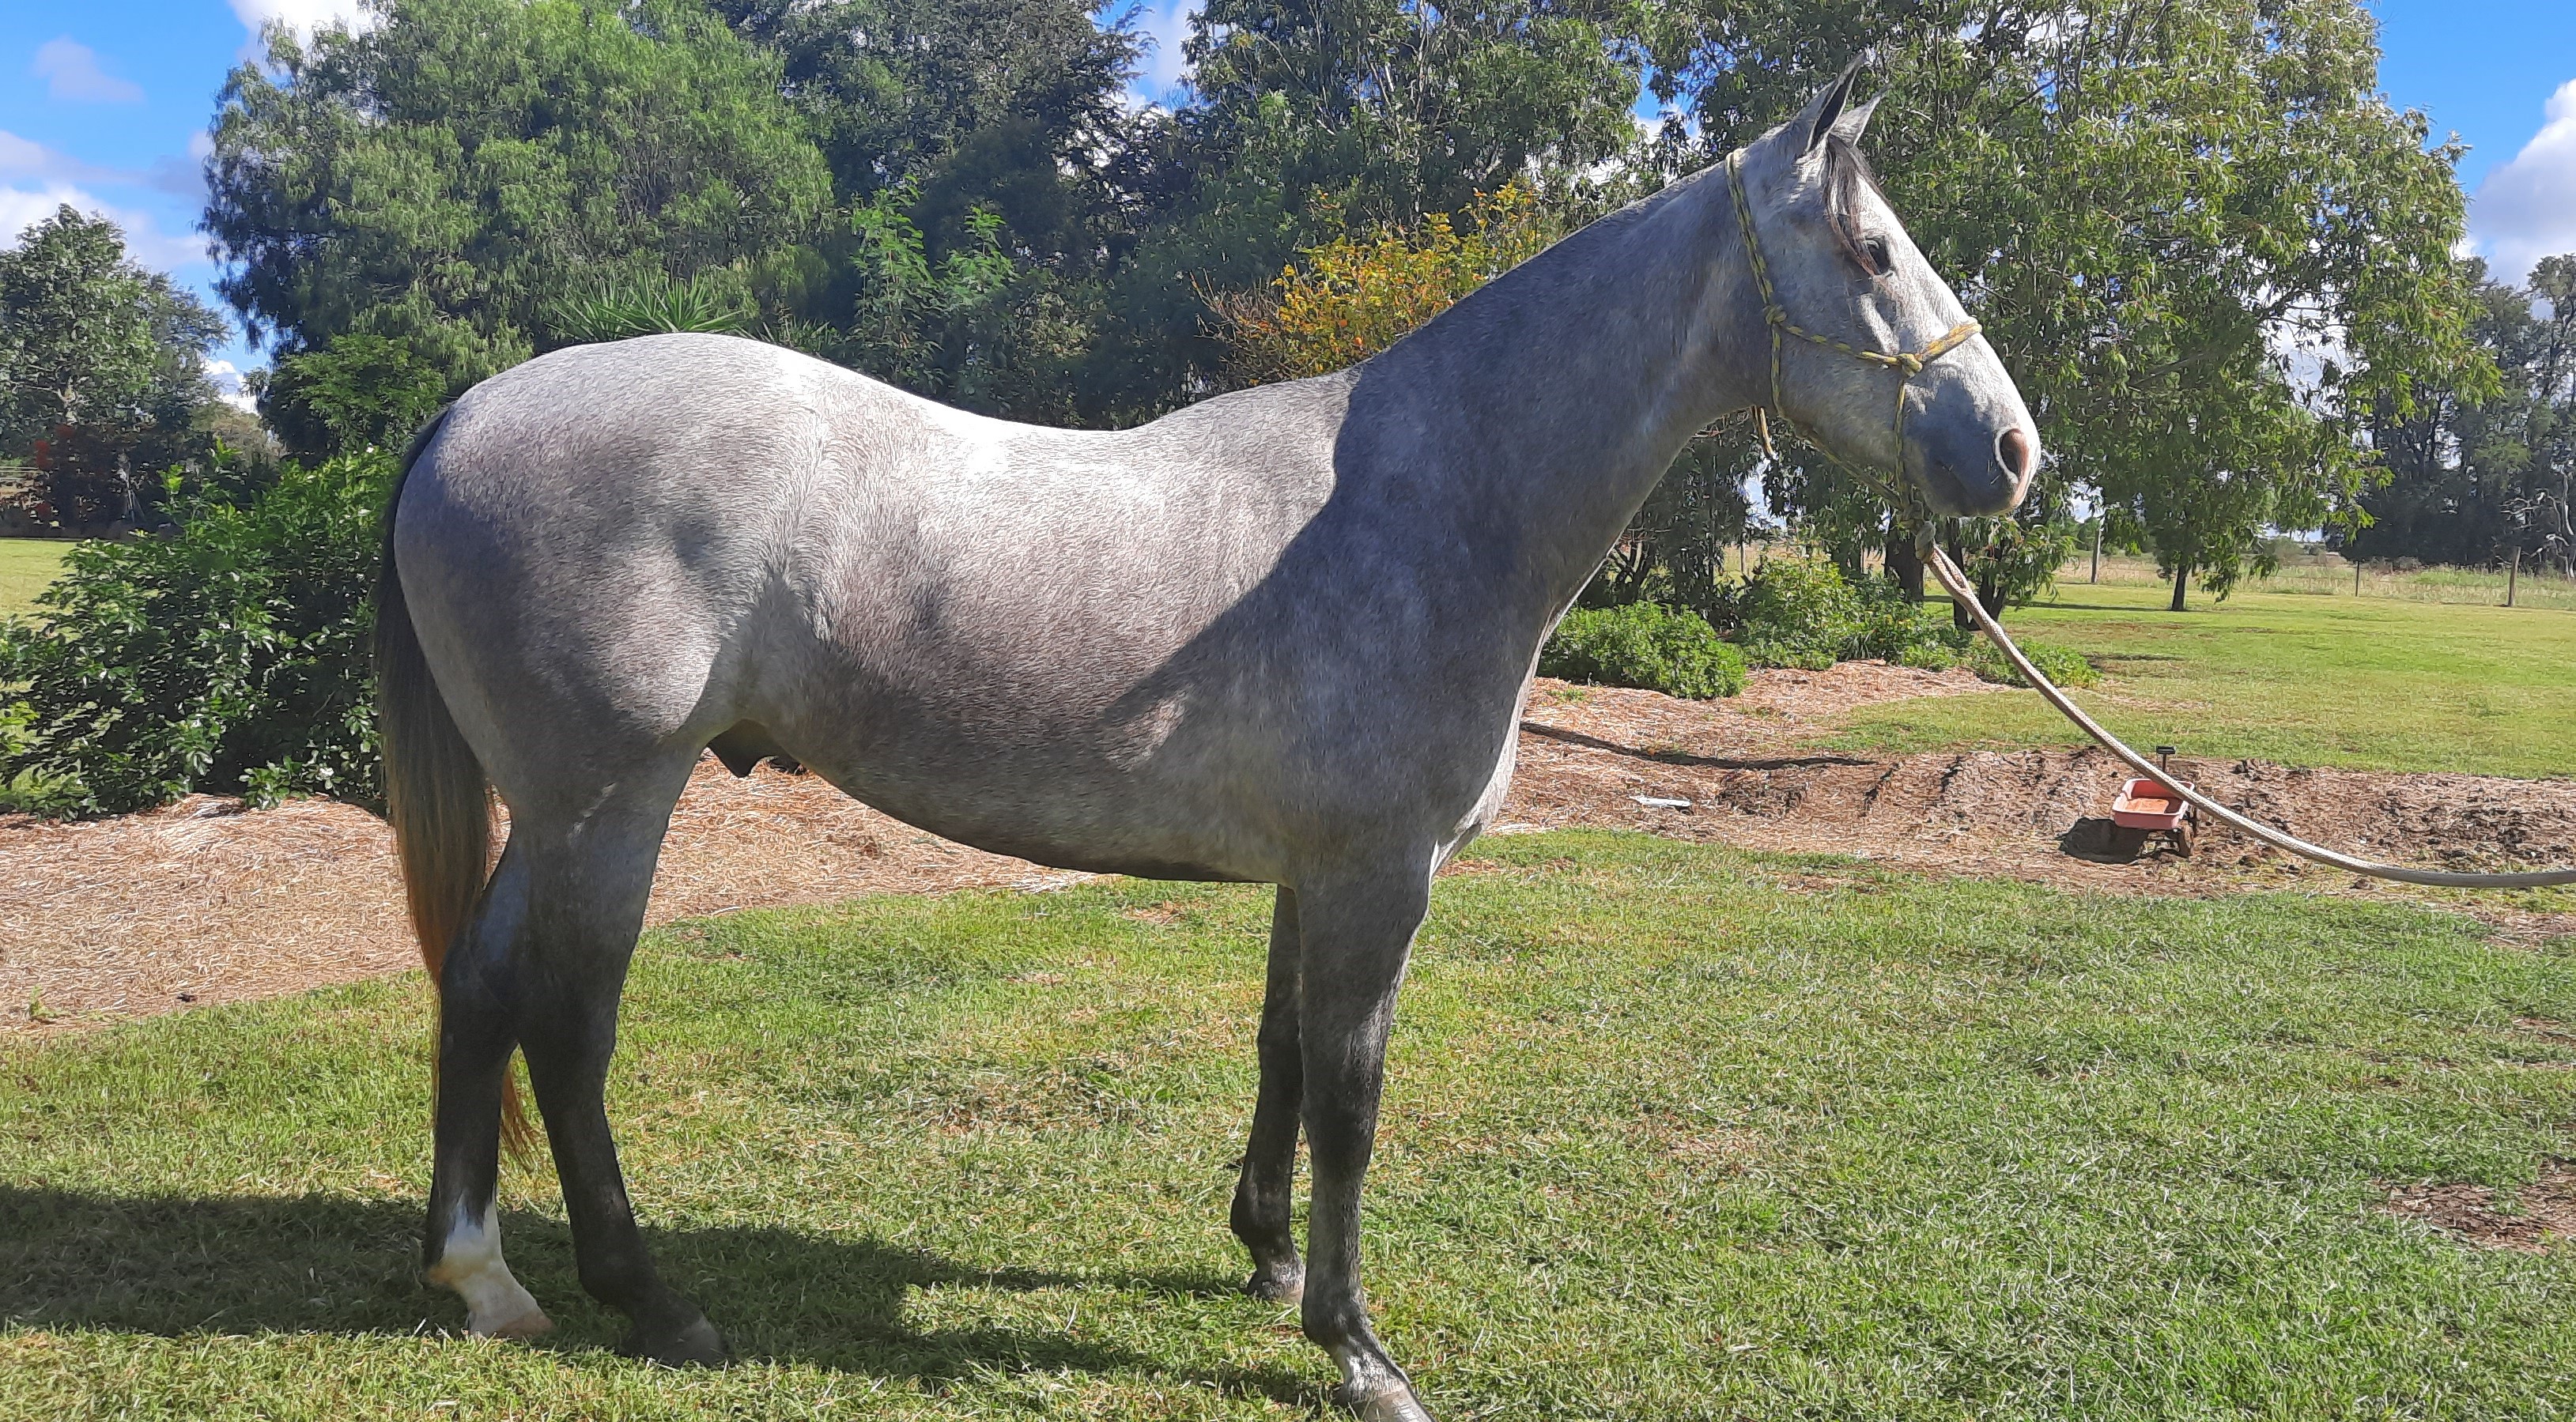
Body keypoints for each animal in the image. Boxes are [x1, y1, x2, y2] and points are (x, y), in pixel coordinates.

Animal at [376, 64, 2035, 1421]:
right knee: (568, 1026)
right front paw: (1356, 1344)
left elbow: (1283, 1052)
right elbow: (1354, 1097)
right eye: (1871, 252)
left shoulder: (1315, 871)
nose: (2012, 451)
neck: (1428, 496)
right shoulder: (1378, 877)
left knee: (479, 987)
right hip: (614, 800)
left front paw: (1266, 1259)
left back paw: (483, 1277)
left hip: (555, 808)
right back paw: (648, 1299)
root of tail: (463, 410)